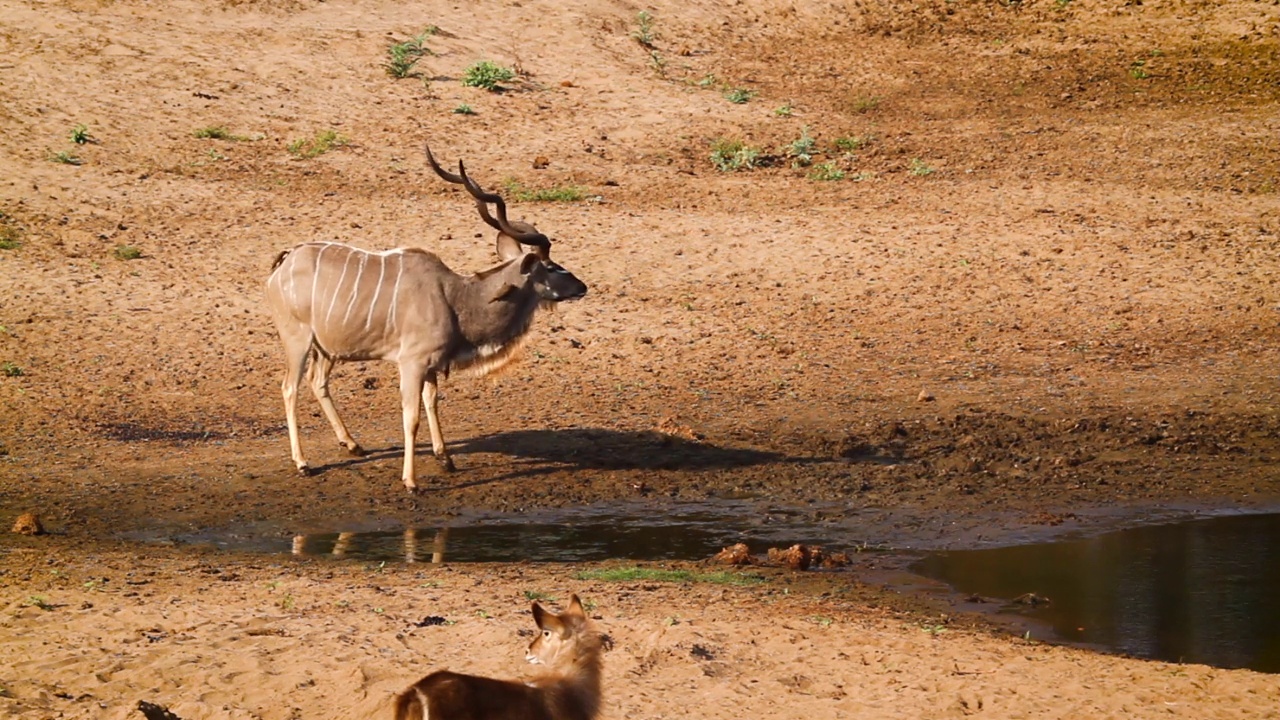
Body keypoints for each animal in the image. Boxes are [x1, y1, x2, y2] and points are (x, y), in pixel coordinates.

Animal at [272, 146, 591, 491]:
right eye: (551, 267)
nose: (582, 287)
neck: (455, 297)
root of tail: (286, 260)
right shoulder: (411, 363)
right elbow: (411, 417)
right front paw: (410, 481)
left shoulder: (432, 366)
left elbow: (431, 402)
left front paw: (445, 459)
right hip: (298, 340)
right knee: (290, 388)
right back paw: (303, 463)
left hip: (328, 348)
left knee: (318, 382)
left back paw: (353, 445)